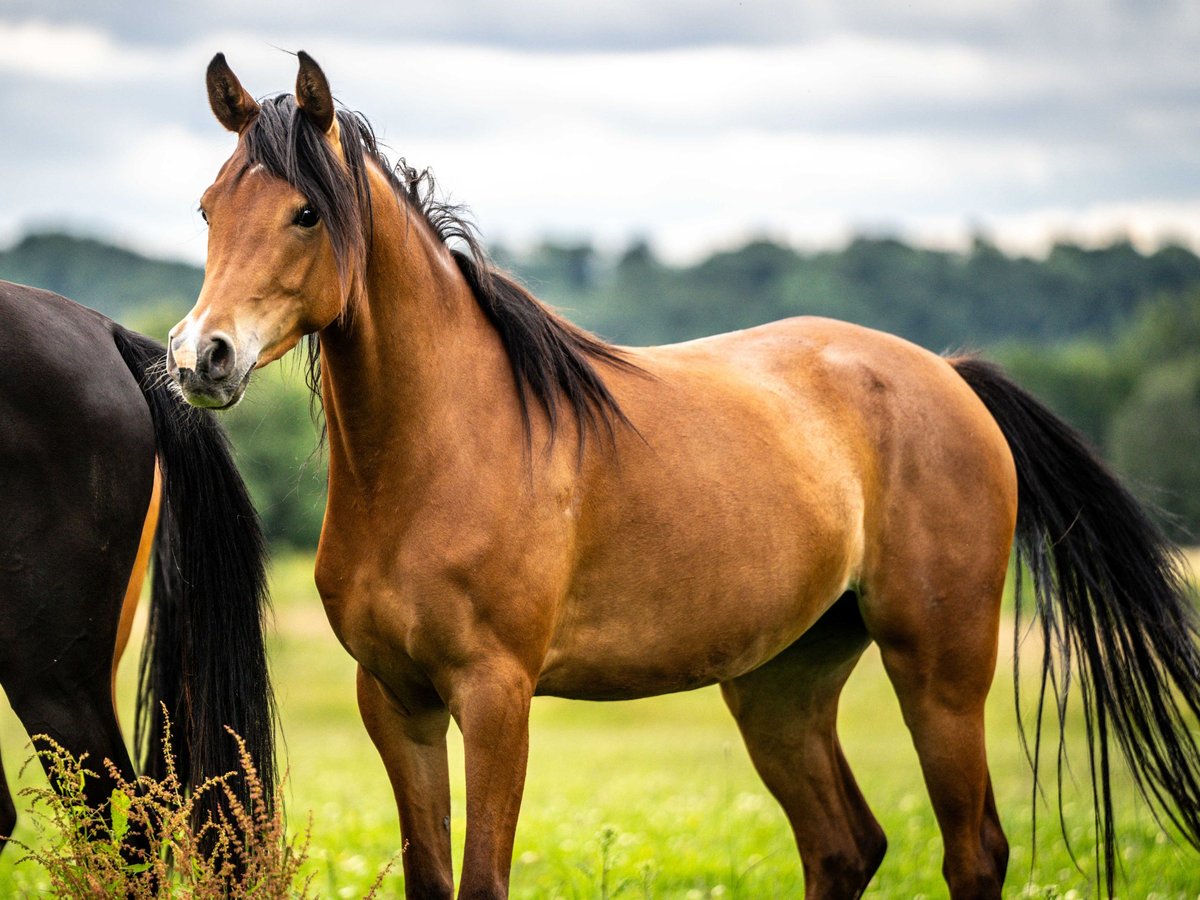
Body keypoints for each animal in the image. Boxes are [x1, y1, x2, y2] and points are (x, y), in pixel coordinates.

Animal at [171, 51, 1200, 900]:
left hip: (940, 670)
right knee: (844, 846)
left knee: (972, 853)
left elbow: (482, 881)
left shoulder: (496, 699)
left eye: (306, 212)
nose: (201, 356)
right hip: (782, 685)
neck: (439, 454)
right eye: (209, 207)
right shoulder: (395, 700)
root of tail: (948, 375)